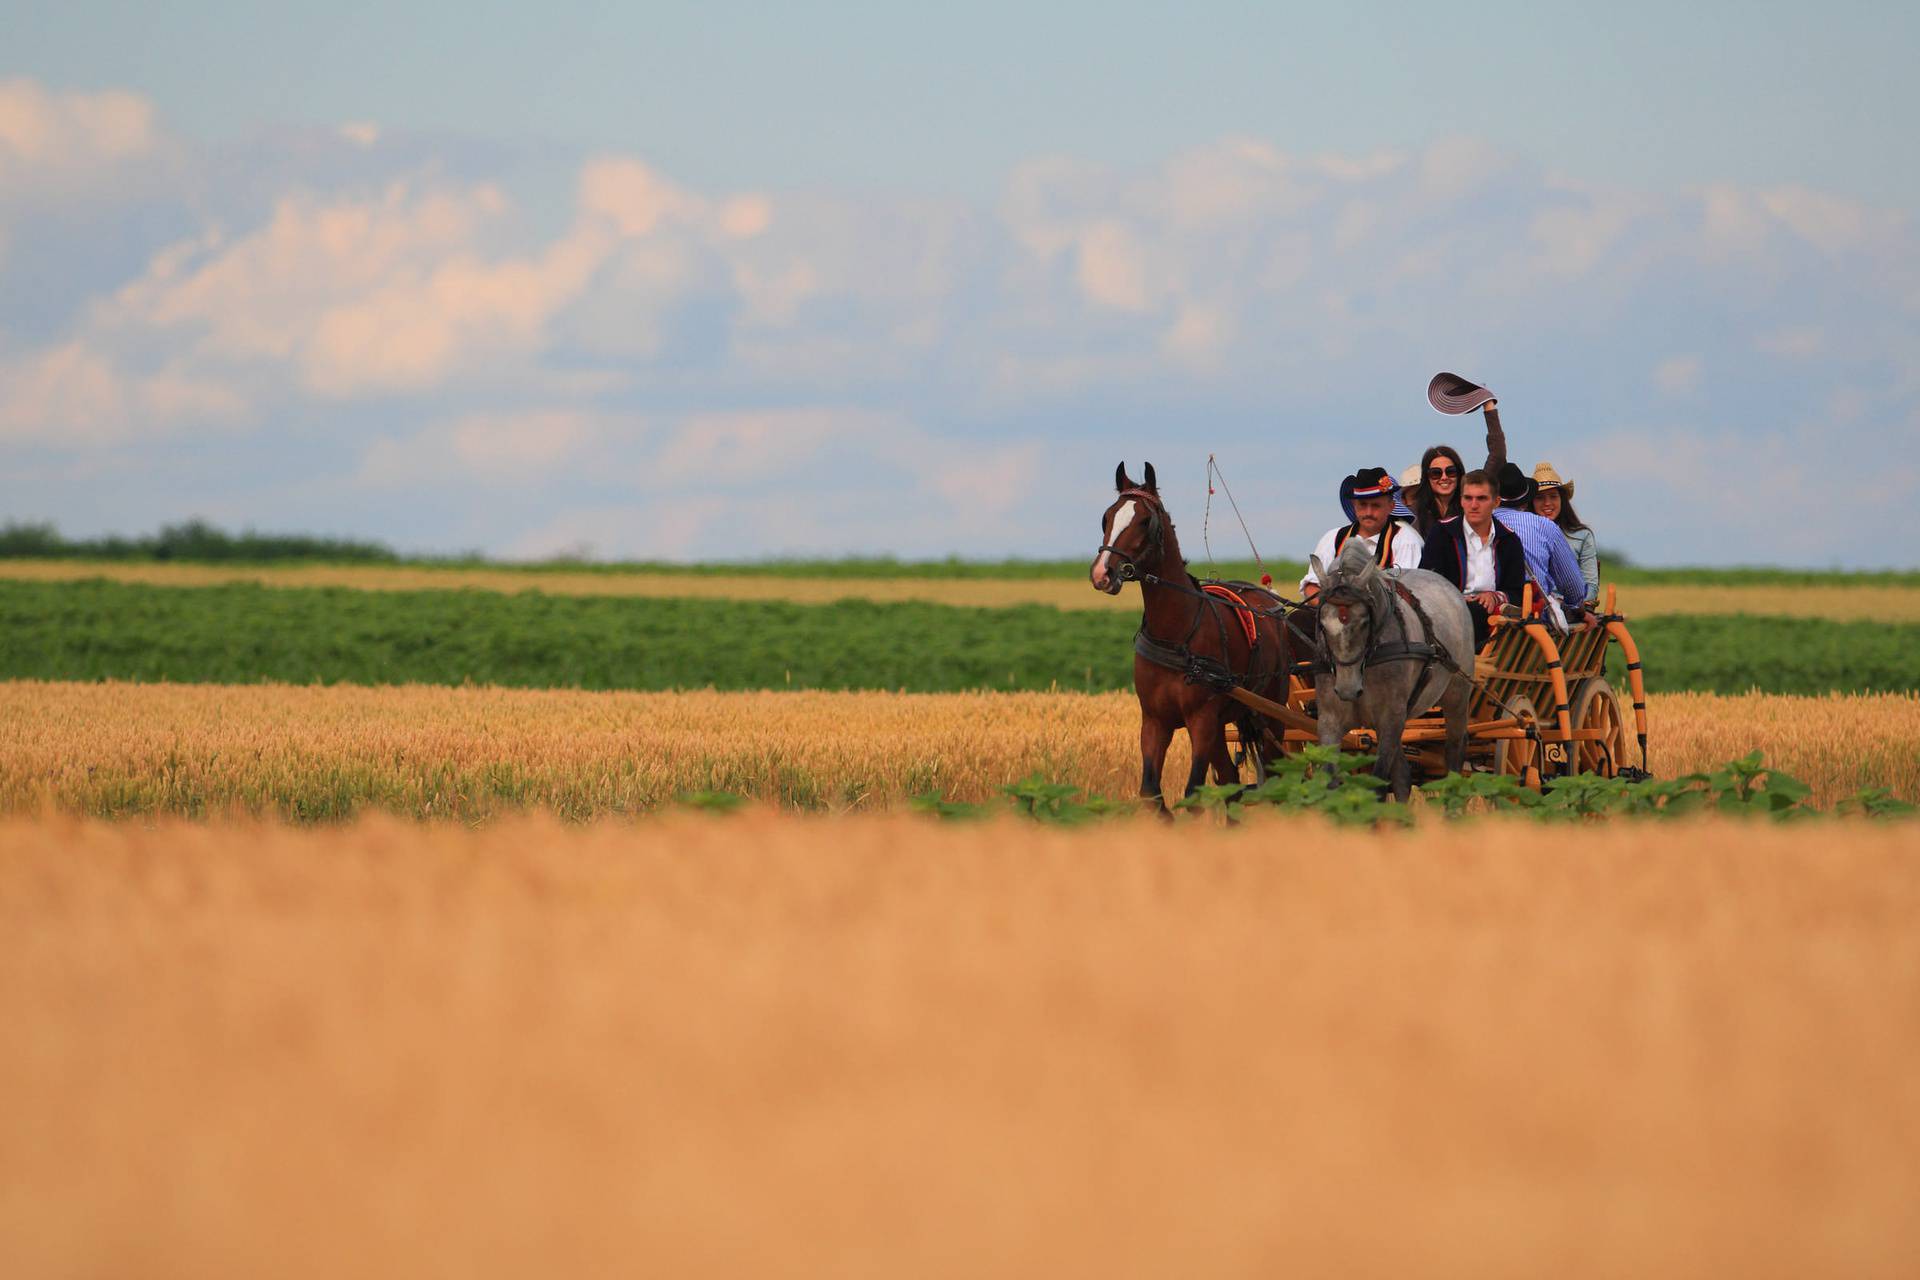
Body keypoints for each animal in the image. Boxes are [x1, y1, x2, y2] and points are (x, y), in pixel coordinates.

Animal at [1098, 466, 1290, 817]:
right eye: (1106, 517)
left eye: (1145, 521)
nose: (1102, 573)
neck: (1176, 635)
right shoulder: (1155, 720)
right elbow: (1151, 792)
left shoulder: (1201, 719)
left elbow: (1192, 793)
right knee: (1231, 782)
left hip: (1271, 713)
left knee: (1277, 775)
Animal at [1313, 541, 1474, 802]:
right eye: (1323, 624)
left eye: (1365, 622)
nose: (1347, 690)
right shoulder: (1329, 720)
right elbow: (1330, 782)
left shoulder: (1390, 717)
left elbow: (1377, 784)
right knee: (1403, 776)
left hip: (1457, 697)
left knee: (1454, 754)